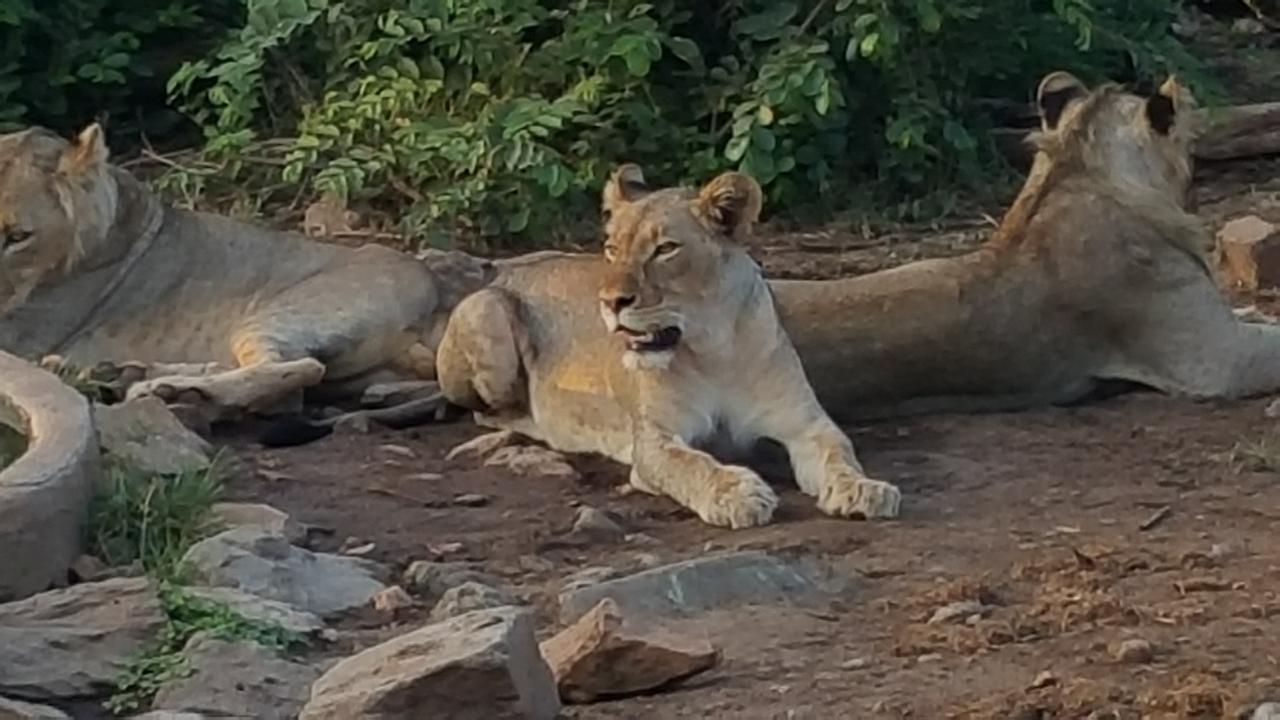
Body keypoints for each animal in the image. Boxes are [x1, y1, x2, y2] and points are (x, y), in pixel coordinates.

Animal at [1, 125, 494, 422]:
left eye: (17, 236)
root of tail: (439, 294)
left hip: (281, 313)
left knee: (297, 367)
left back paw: (169, 391)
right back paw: (119, 373)